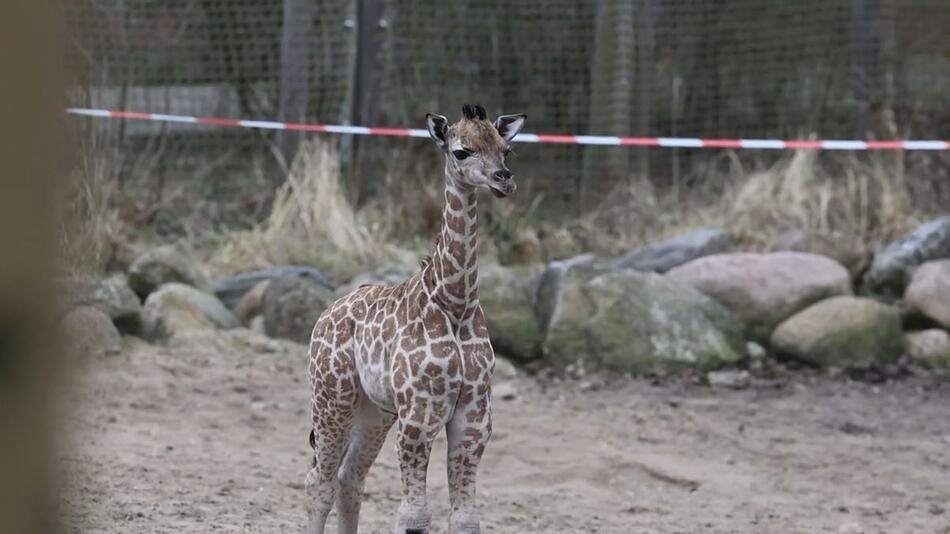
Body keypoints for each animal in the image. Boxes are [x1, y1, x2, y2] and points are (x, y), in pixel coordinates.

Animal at [306, 104, 524, 534]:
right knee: (319, 482)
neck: (455, 304)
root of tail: (324, 314)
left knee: (349, 477)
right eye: (462, 151)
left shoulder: (474, 415)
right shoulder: (420, 414)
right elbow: (413, 514)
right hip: (332, 398)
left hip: (374, 409)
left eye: (506, 149)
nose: (503, 180)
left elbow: (465, 517)